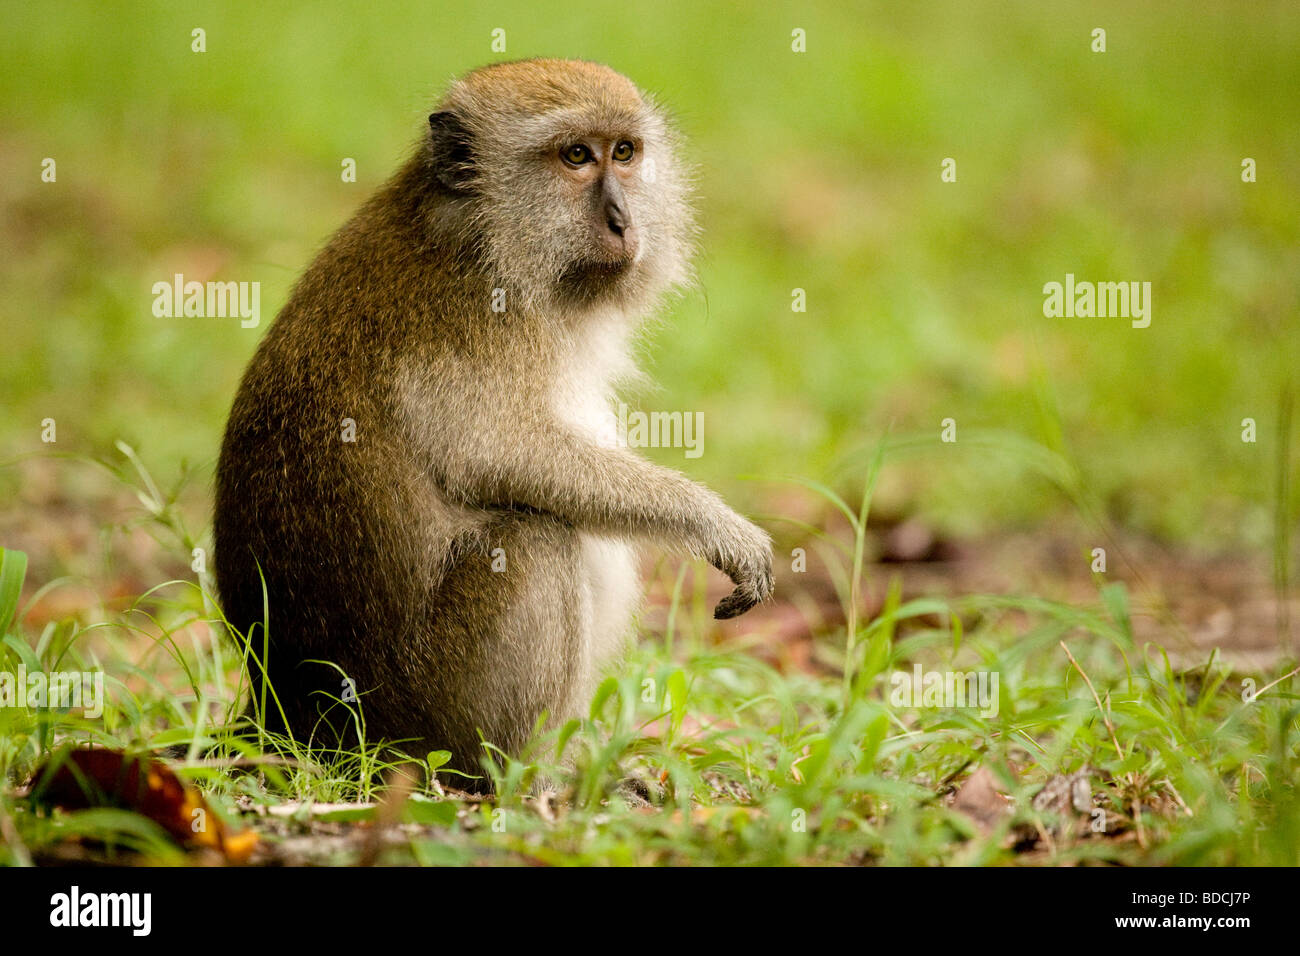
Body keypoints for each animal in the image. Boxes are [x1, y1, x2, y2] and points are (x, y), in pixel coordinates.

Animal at [213, 61, 769, 790]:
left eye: (624, 152)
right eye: (575, 157)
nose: (622, 219)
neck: (478, 235)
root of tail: (285, 709)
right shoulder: (481, 322)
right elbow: (498, 456)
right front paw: (713, 522)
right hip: (422, 713)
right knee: (538, 537)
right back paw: (525, 779)